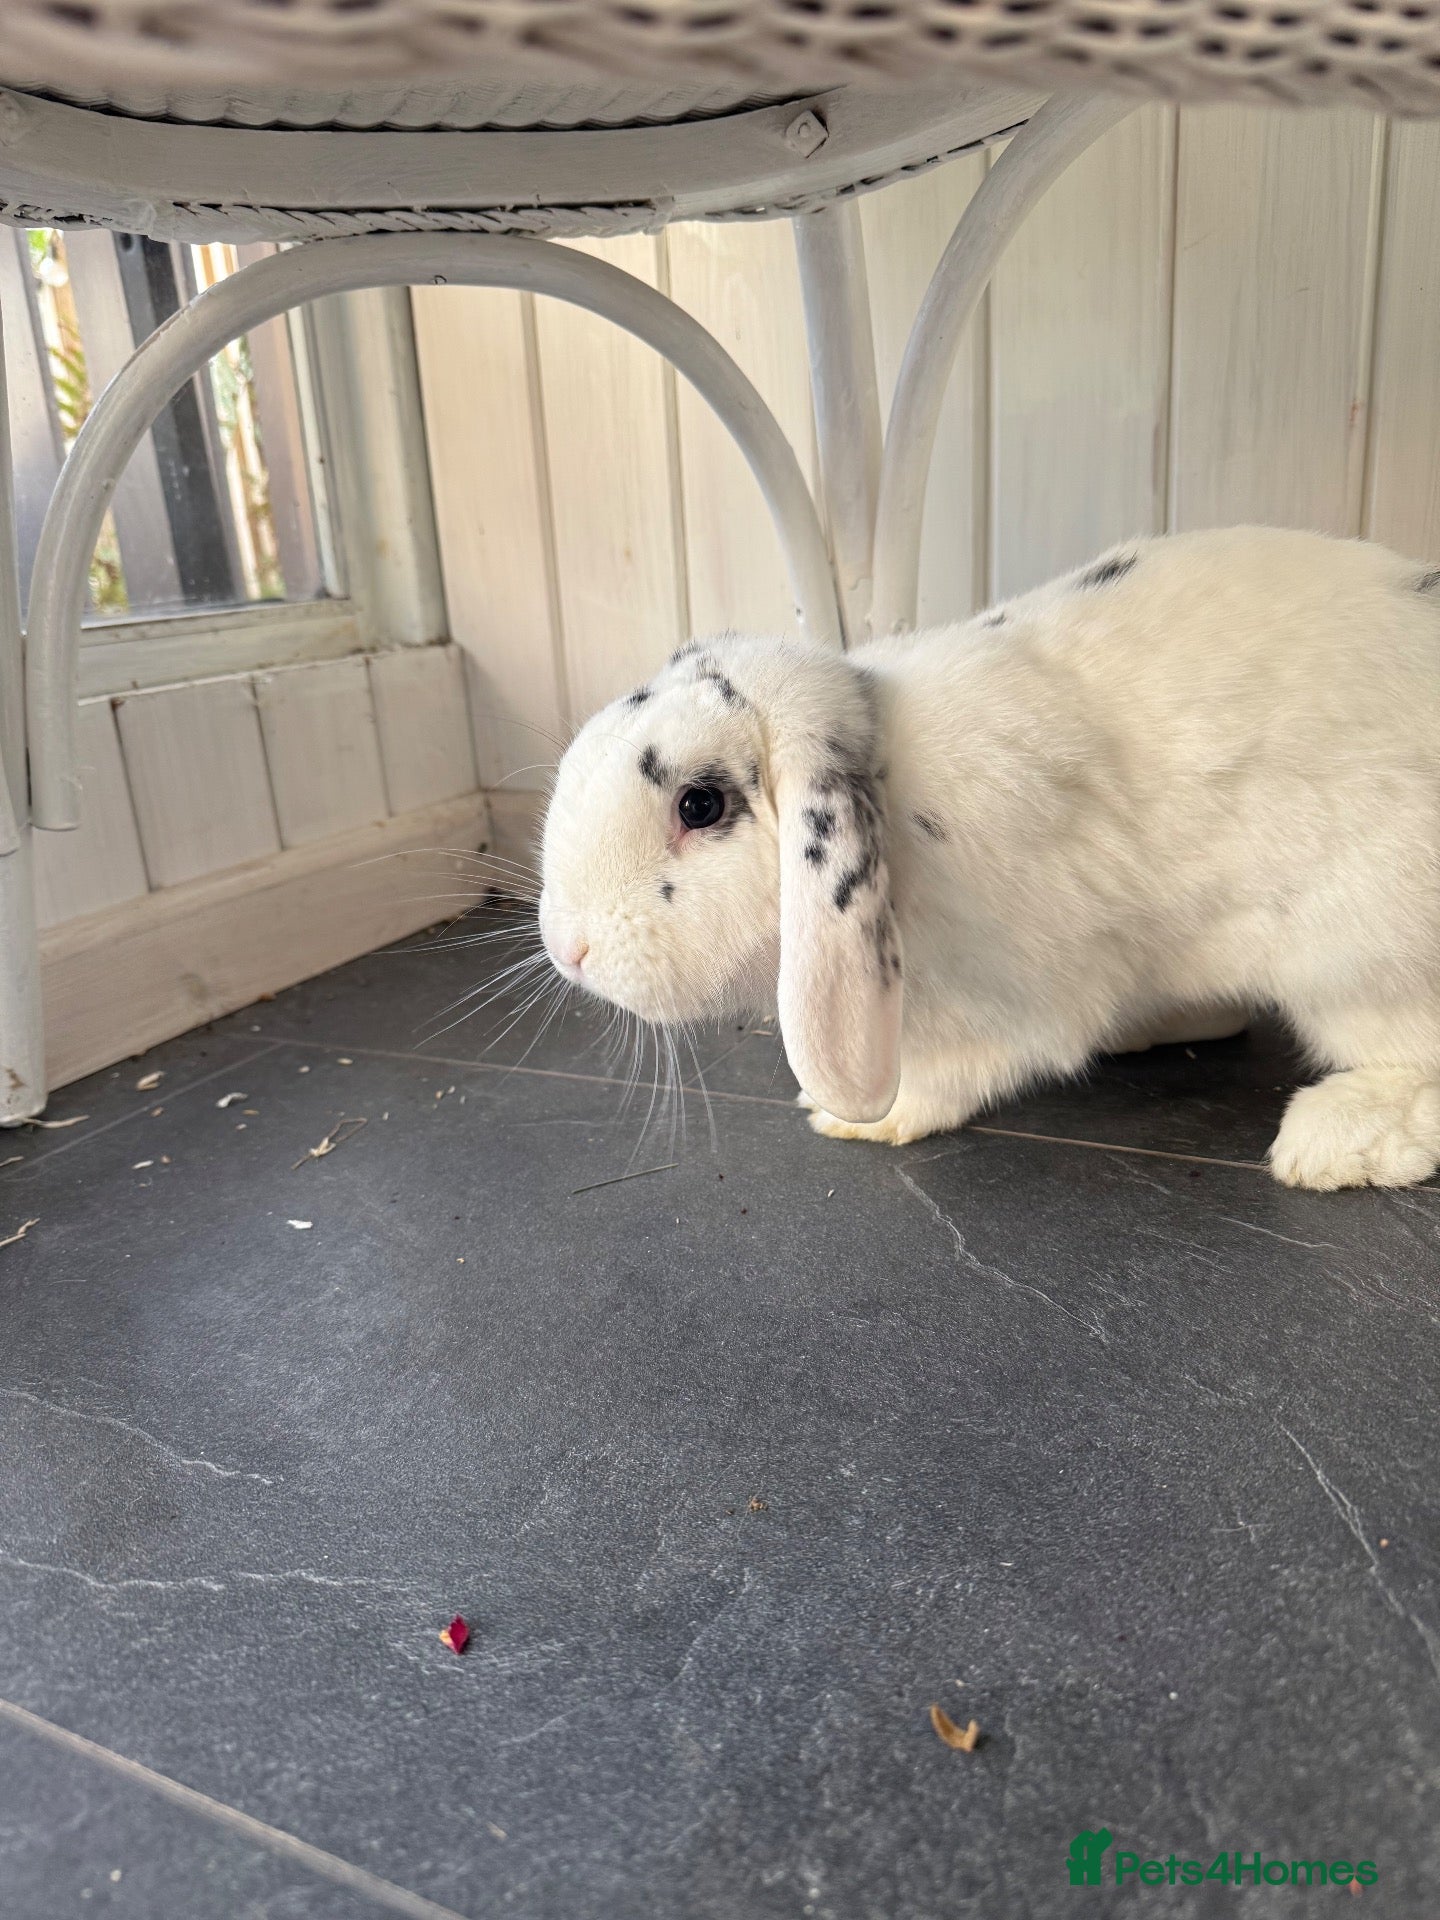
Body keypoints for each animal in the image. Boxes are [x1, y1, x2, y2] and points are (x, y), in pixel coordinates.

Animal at [538, 526, 1440, 1191]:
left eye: (700, 805)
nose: (567, 949)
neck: (896, 797)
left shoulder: (1011, 996)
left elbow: (959, 1070)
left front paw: (855, 1117)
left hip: (1360, 952)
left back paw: (1331, 1142)